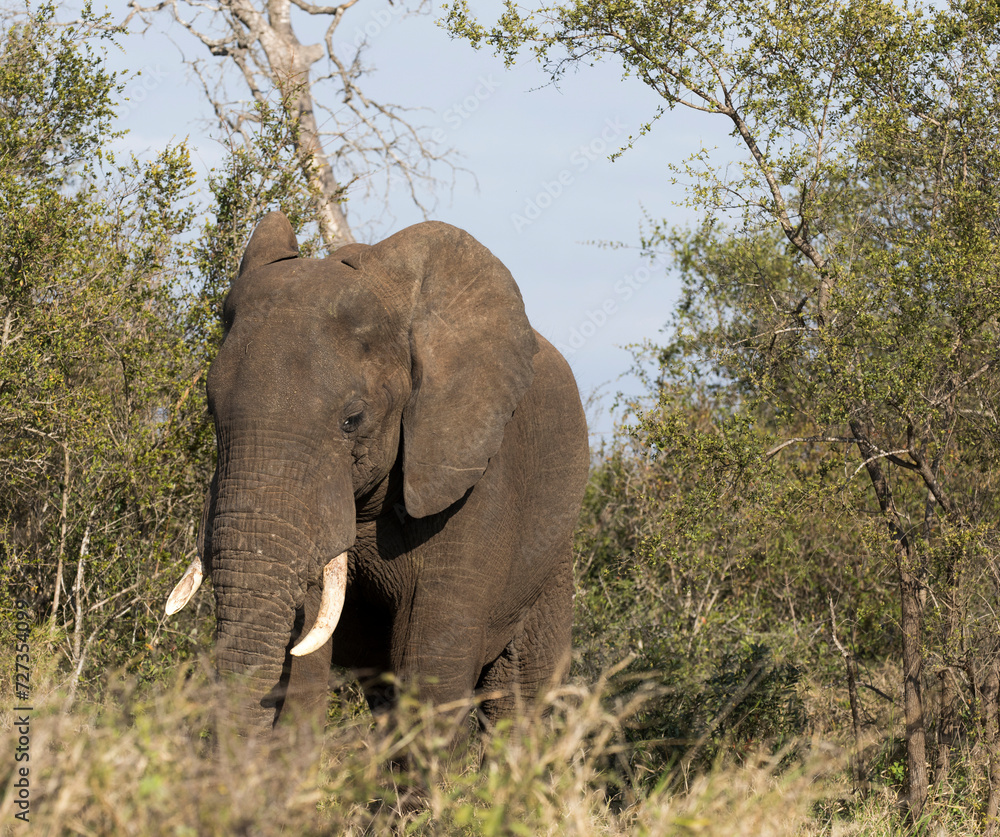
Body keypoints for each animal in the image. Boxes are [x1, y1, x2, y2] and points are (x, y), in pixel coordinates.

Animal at [165, 211, 590, 738]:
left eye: (352, 420)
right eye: (210, 410)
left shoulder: (477, 472)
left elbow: (431, 664)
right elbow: (305, 669)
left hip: (551, 558)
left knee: (520, 699)